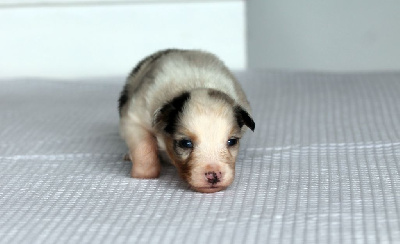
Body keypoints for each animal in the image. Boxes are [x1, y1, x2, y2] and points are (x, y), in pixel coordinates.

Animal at [119, 49, 255, 193]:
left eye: (232, 141)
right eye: (186, 143)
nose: (213, 176)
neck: (197, 84)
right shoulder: (135, 119)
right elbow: (143, 148)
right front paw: (143, 175)